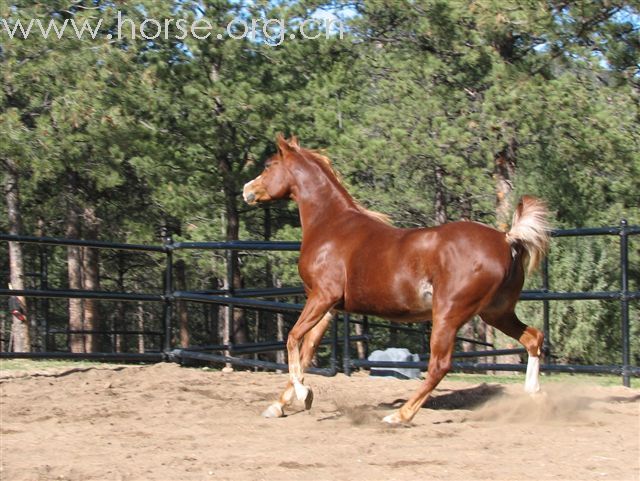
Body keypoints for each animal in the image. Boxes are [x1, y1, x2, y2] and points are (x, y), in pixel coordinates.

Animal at [241, 133, 552, 422]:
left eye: (268, 165)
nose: (246, 190)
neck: (331, 226)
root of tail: (506, 239)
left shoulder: (321, 297)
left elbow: (292, 339)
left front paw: (304, 394)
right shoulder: (329, 307)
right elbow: (306, 351)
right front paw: (279, 405)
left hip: (449, 313)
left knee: (439, 365)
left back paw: (399, 415)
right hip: (496, 311)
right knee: (533, 338)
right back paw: (534, 394)